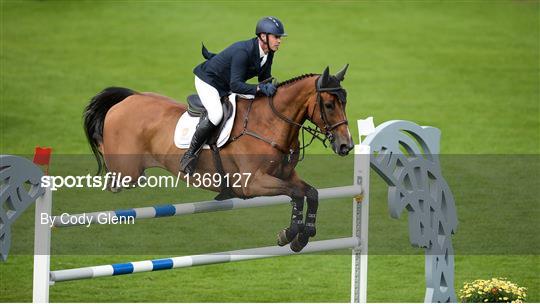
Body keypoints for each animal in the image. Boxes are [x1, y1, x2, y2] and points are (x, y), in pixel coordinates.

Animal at [83, 66, 354, 252]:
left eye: (344, 102)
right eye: (329, 105)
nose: (346, 145)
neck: (270, 124)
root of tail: (130, 98)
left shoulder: (286, 175)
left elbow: (311, 193)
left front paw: (303, 234)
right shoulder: (252, 184)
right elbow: (297, 194)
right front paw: (289, 234)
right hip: (127, 171)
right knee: (108, 164)